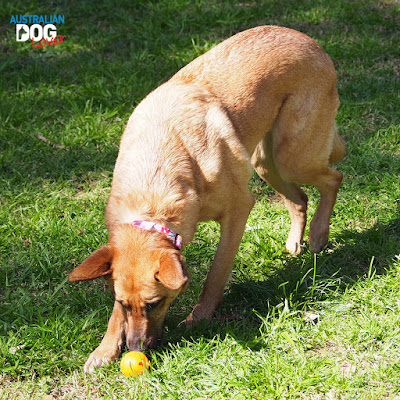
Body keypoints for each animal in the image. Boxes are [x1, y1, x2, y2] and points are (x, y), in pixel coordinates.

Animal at [69, 25, 345, 372]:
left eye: (156, 303)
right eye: (122, 303)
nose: (135, 348)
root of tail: (308, 39)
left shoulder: (238, 211)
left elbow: (215, 275)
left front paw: (198, 317)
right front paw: (105, 349)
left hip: (292, 158)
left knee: (333, 179)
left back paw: (318, 235)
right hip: (266, 163)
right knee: (300, 198)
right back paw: (296, 241)